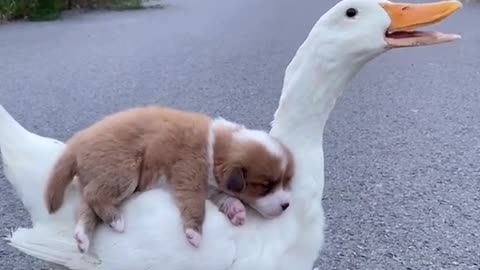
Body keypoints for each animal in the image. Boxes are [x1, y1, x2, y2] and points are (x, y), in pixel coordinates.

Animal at [45, 105, 294, 253]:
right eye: (265, 187)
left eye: (285, 182)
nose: (286, 205)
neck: (215, 146)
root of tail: (79, 140)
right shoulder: (189, 172)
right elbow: (195, 204)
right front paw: (194, 233)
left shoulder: (211, 185)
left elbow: (225, 198)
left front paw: (237, 211)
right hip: (122, 170)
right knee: (94, 195)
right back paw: (116, 220)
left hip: (101, 174)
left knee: (86, 203)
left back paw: (83, 237)